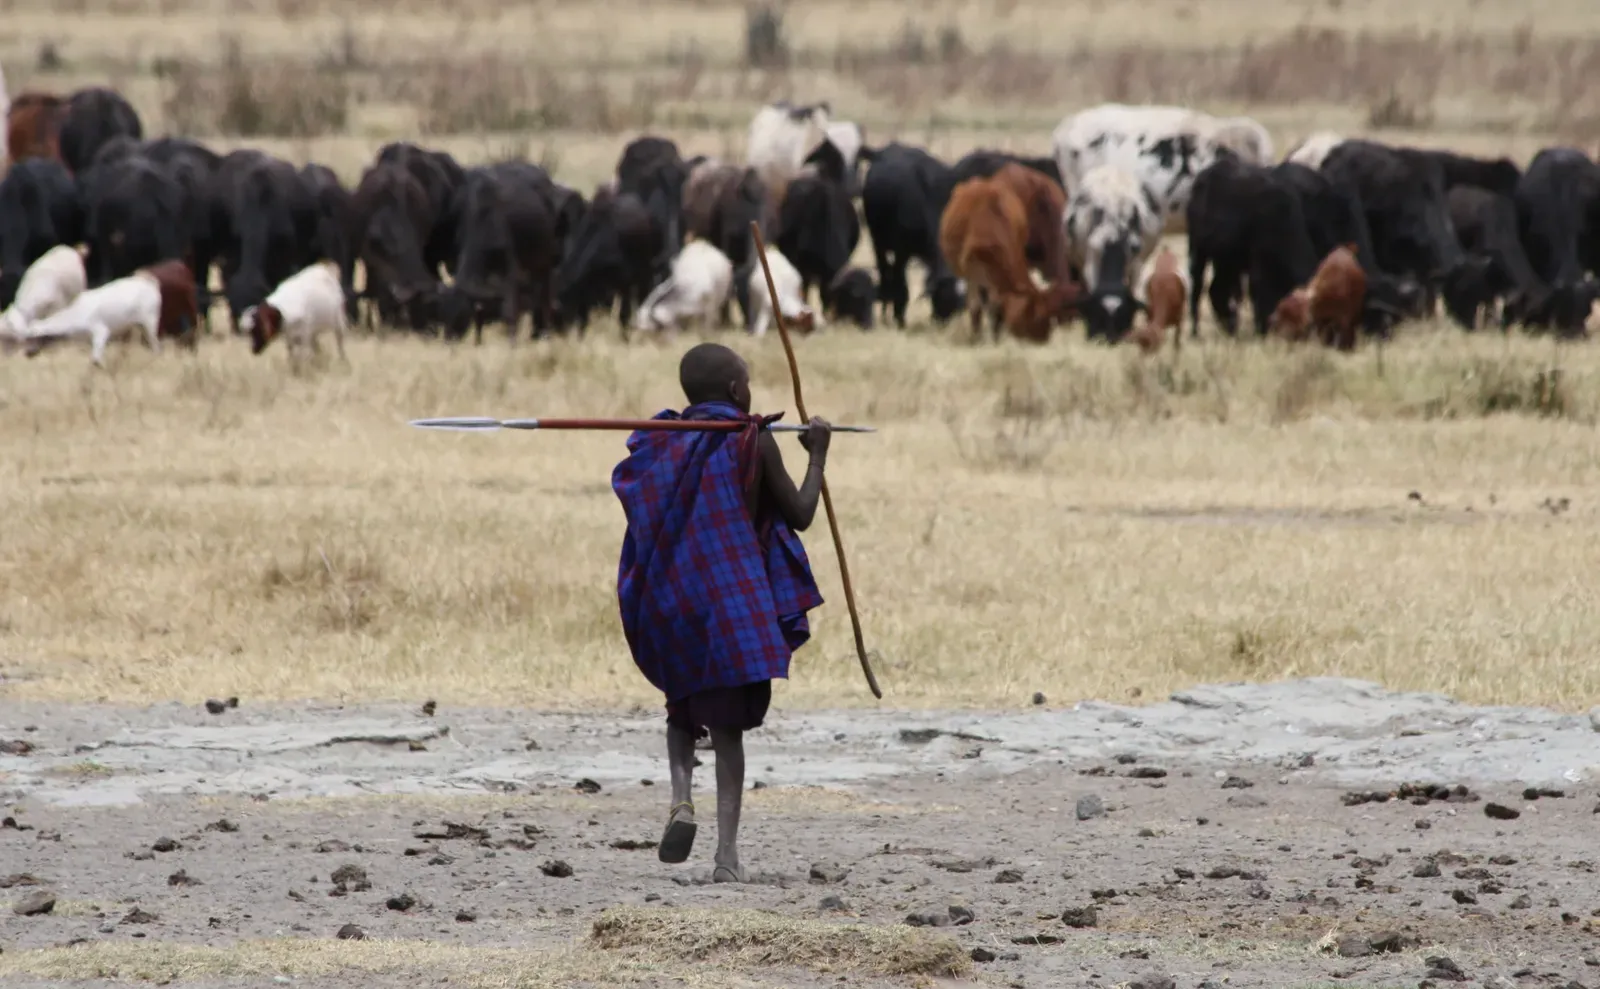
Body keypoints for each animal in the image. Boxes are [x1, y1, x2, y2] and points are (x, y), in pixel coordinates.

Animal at [438, 160, 563, 343]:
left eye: (461, 312)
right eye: (444, 311)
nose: (448, 338)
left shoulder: (511, 271)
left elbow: (509, 309)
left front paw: (512, 341)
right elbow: (481, 314)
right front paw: (478, 341)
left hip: (543, 261)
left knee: (544, 294)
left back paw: (544, 332)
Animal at [859, 142, 964, 328]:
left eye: (959, 305)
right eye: (944, 298)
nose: (943, 324)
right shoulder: (902, 251)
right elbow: (901, 287)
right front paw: (899, 318)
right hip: (877, 241)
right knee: (885, 272)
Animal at [940, 174, 1080, 344]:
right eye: (1038, 317)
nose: (1043, 339)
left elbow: (996, 305)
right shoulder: (973, 272)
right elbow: (976, 306)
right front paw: (977, 337)